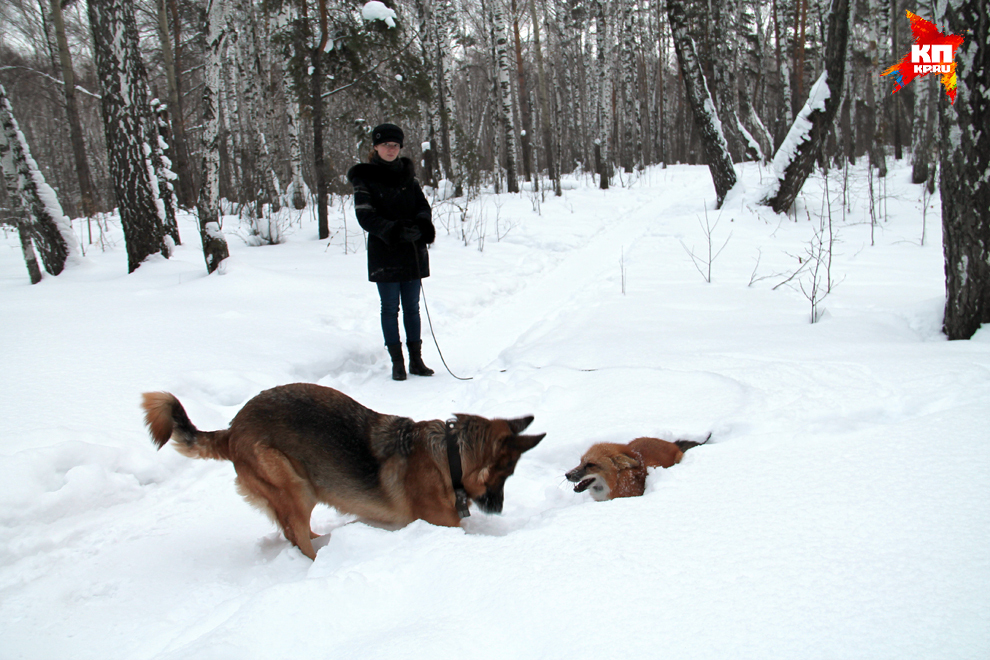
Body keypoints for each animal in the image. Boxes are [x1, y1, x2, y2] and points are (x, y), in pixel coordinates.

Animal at [142, 384, 548, 560]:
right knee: (297, 537)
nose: (498, 510)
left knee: (298, 532)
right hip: (294, 486)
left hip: (301, 489)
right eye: (505, 475)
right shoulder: (441, 523)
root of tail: (232, 428)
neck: (449, 457)